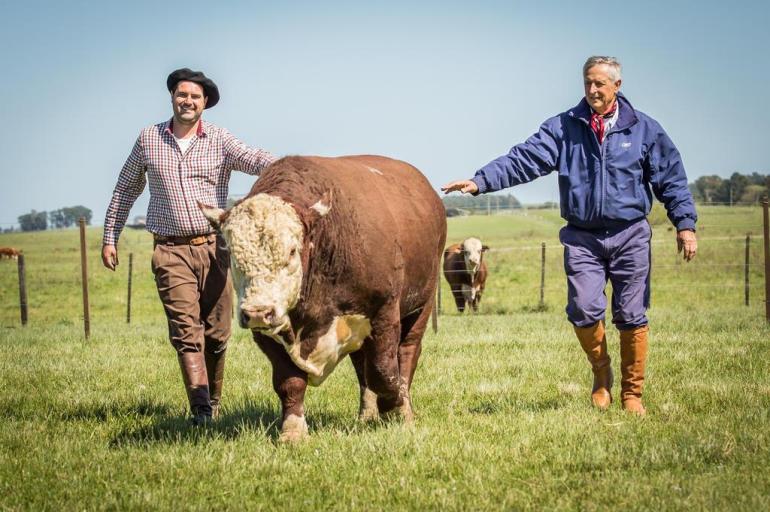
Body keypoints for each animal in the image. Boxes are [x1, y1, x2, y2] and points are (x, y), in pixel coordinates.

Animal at [201, 155, 448, 440]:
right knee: (361, 365)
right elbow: (288, 382)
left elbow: (383, 372)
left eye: (292, 251)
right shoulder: (268, 334)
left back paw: (401, 402)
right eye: (232, 253)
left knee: (406, 354)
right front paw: (293, 431)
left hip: (422, 305)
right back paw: (367, 413)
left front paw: (397, 408)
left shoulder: (384, 312)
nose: (258, 312)